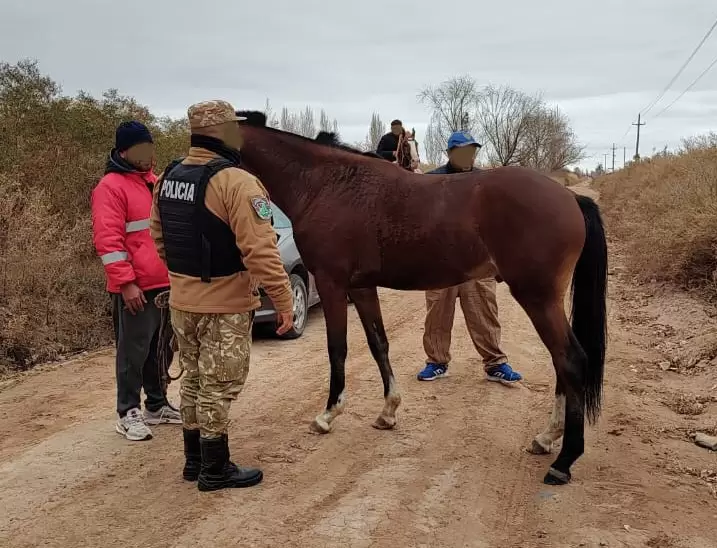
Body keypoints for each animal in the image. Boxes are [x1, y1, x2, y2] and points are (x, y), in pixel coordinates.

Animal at [235, 111, 607, 486]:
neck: (325, 183)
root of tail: (570, 198)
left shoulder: (331, 284)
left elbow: (337, 348)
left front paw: (328, 415)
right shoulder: (361, 287)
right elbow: (378, 343)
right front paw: (388, 411)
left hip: (538, 298)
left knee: (570, 360)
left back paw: (563, 461)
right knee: (561, 362)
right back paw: (546, 438)